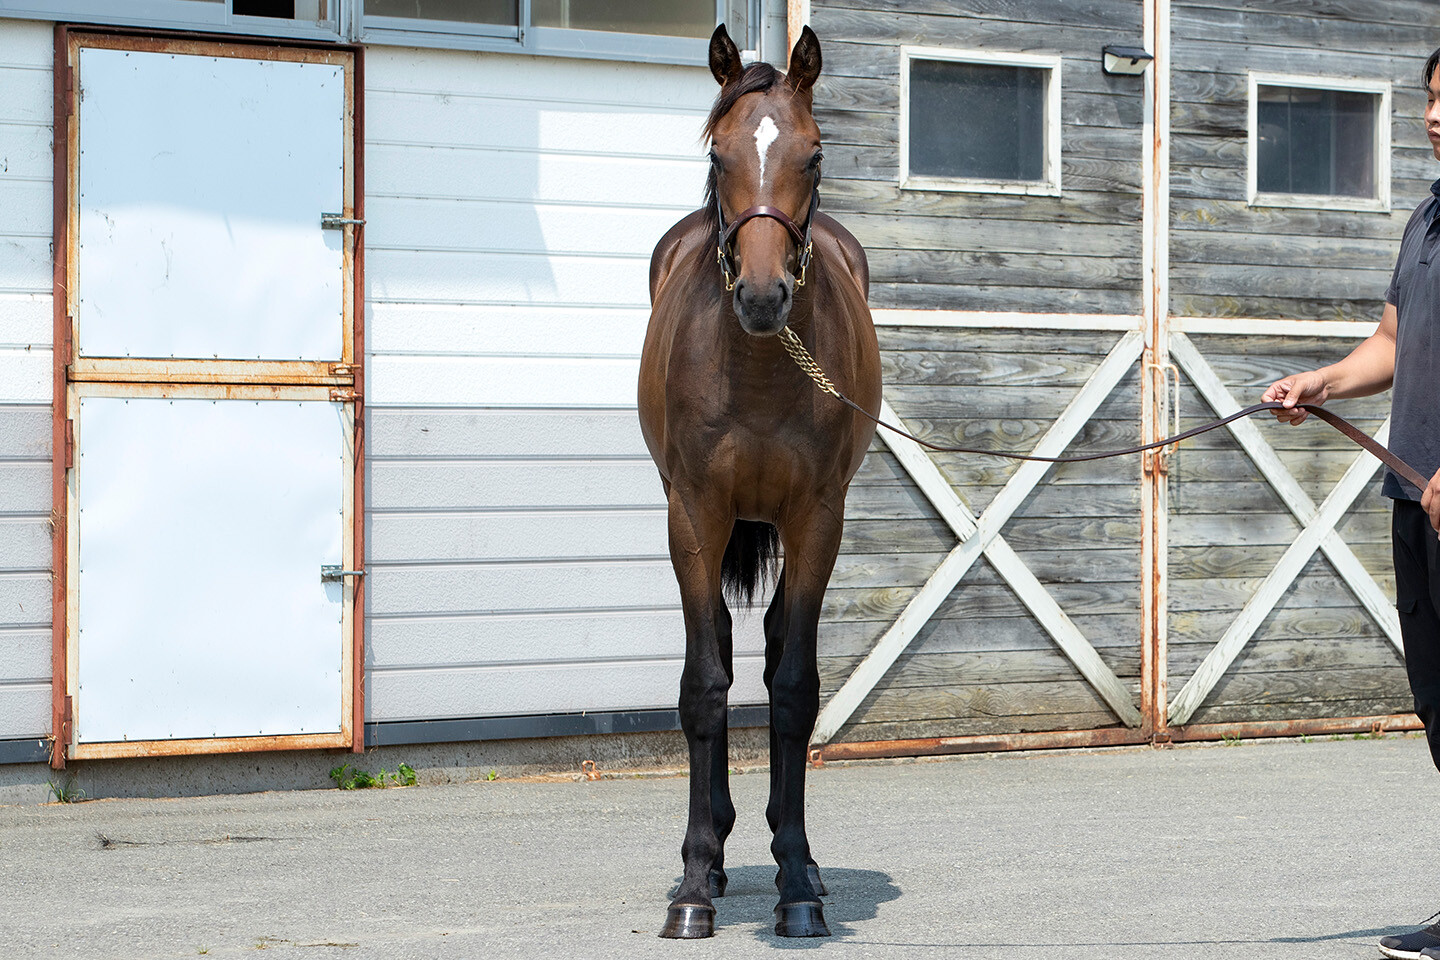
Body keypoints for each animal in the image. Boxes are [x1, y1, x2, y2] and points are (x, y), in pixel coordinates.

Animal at [639, 22, 881, 938]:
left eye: (813, 155)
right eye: (718, 156)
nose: (764, 296)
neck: (758, 368)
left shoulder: (818, 517)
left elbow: (795, 687)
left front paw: (799, 884)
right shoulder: (693, 514)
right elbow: (704, 687)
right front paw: (693, 883)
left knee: (777, 645)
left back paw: (787, 850)